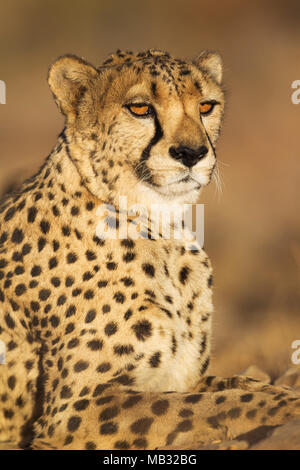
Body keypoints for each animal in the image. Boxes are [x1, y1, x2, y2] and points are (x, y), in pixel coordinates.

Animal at [0, 49, 300, 450]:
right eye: (140, 108)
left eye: (206, 105)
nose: (192, 152)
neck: (162, 227)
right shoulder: (74, 410)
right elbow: (211, 405)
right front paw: (287, 407)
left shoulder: (183, 376)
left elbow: (237, 385)